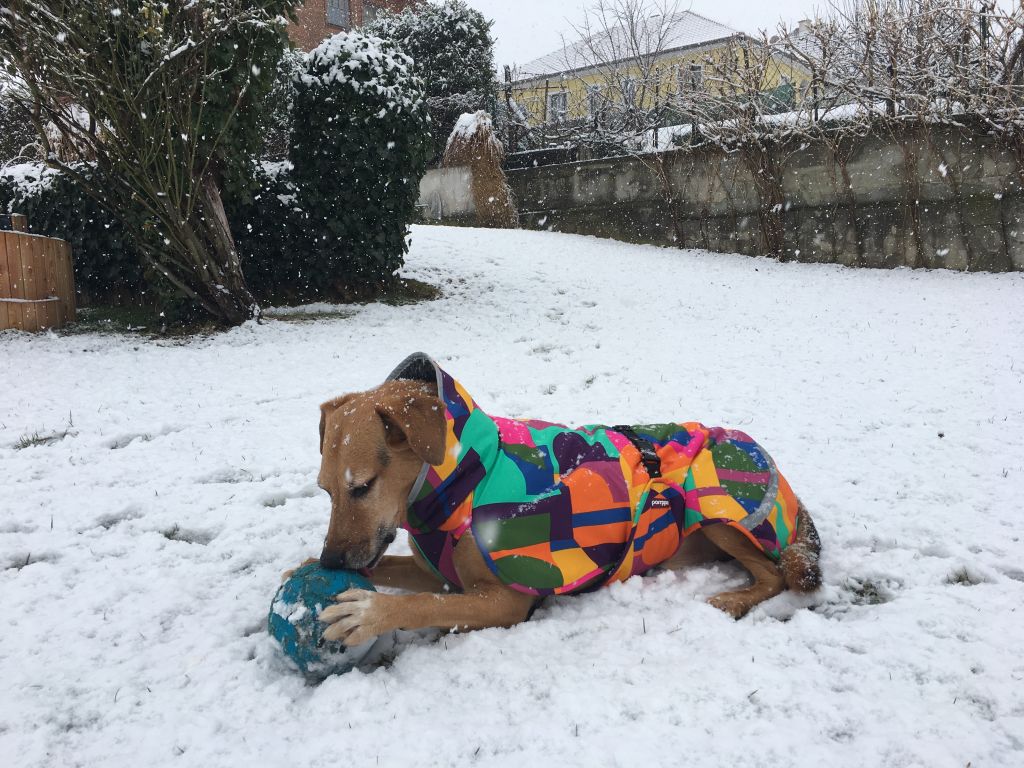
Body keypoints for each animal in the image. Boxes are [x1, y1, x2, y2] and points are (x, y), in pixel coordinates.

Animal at [305, 368, 823, 651]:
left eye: (362, 487)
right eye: (326, 491)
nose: (332, 561)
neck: (466, 477)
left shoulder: (505, 600)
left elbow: (422, 605)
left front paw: (370, 612)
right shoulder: (438, 572)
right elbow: (394, 571)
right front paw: (309, 568)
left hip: (717, 507)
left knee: (775, 573)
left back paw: (733, 599)